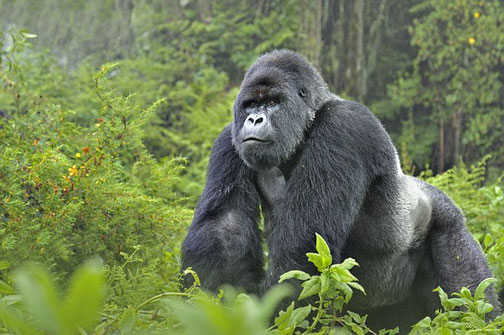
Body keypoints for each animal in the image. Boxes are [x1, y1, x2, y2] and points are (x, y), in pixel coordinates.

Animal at [182, 50, 500, 330]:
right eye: (249, 105)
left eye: (272, 102)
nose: (254, 119)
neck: (309, 122)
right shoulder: (229, 139)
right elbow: (225, 229)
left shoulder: (343, 127)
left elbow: (304, 245)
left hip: (449, 226)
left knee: (468, 296)